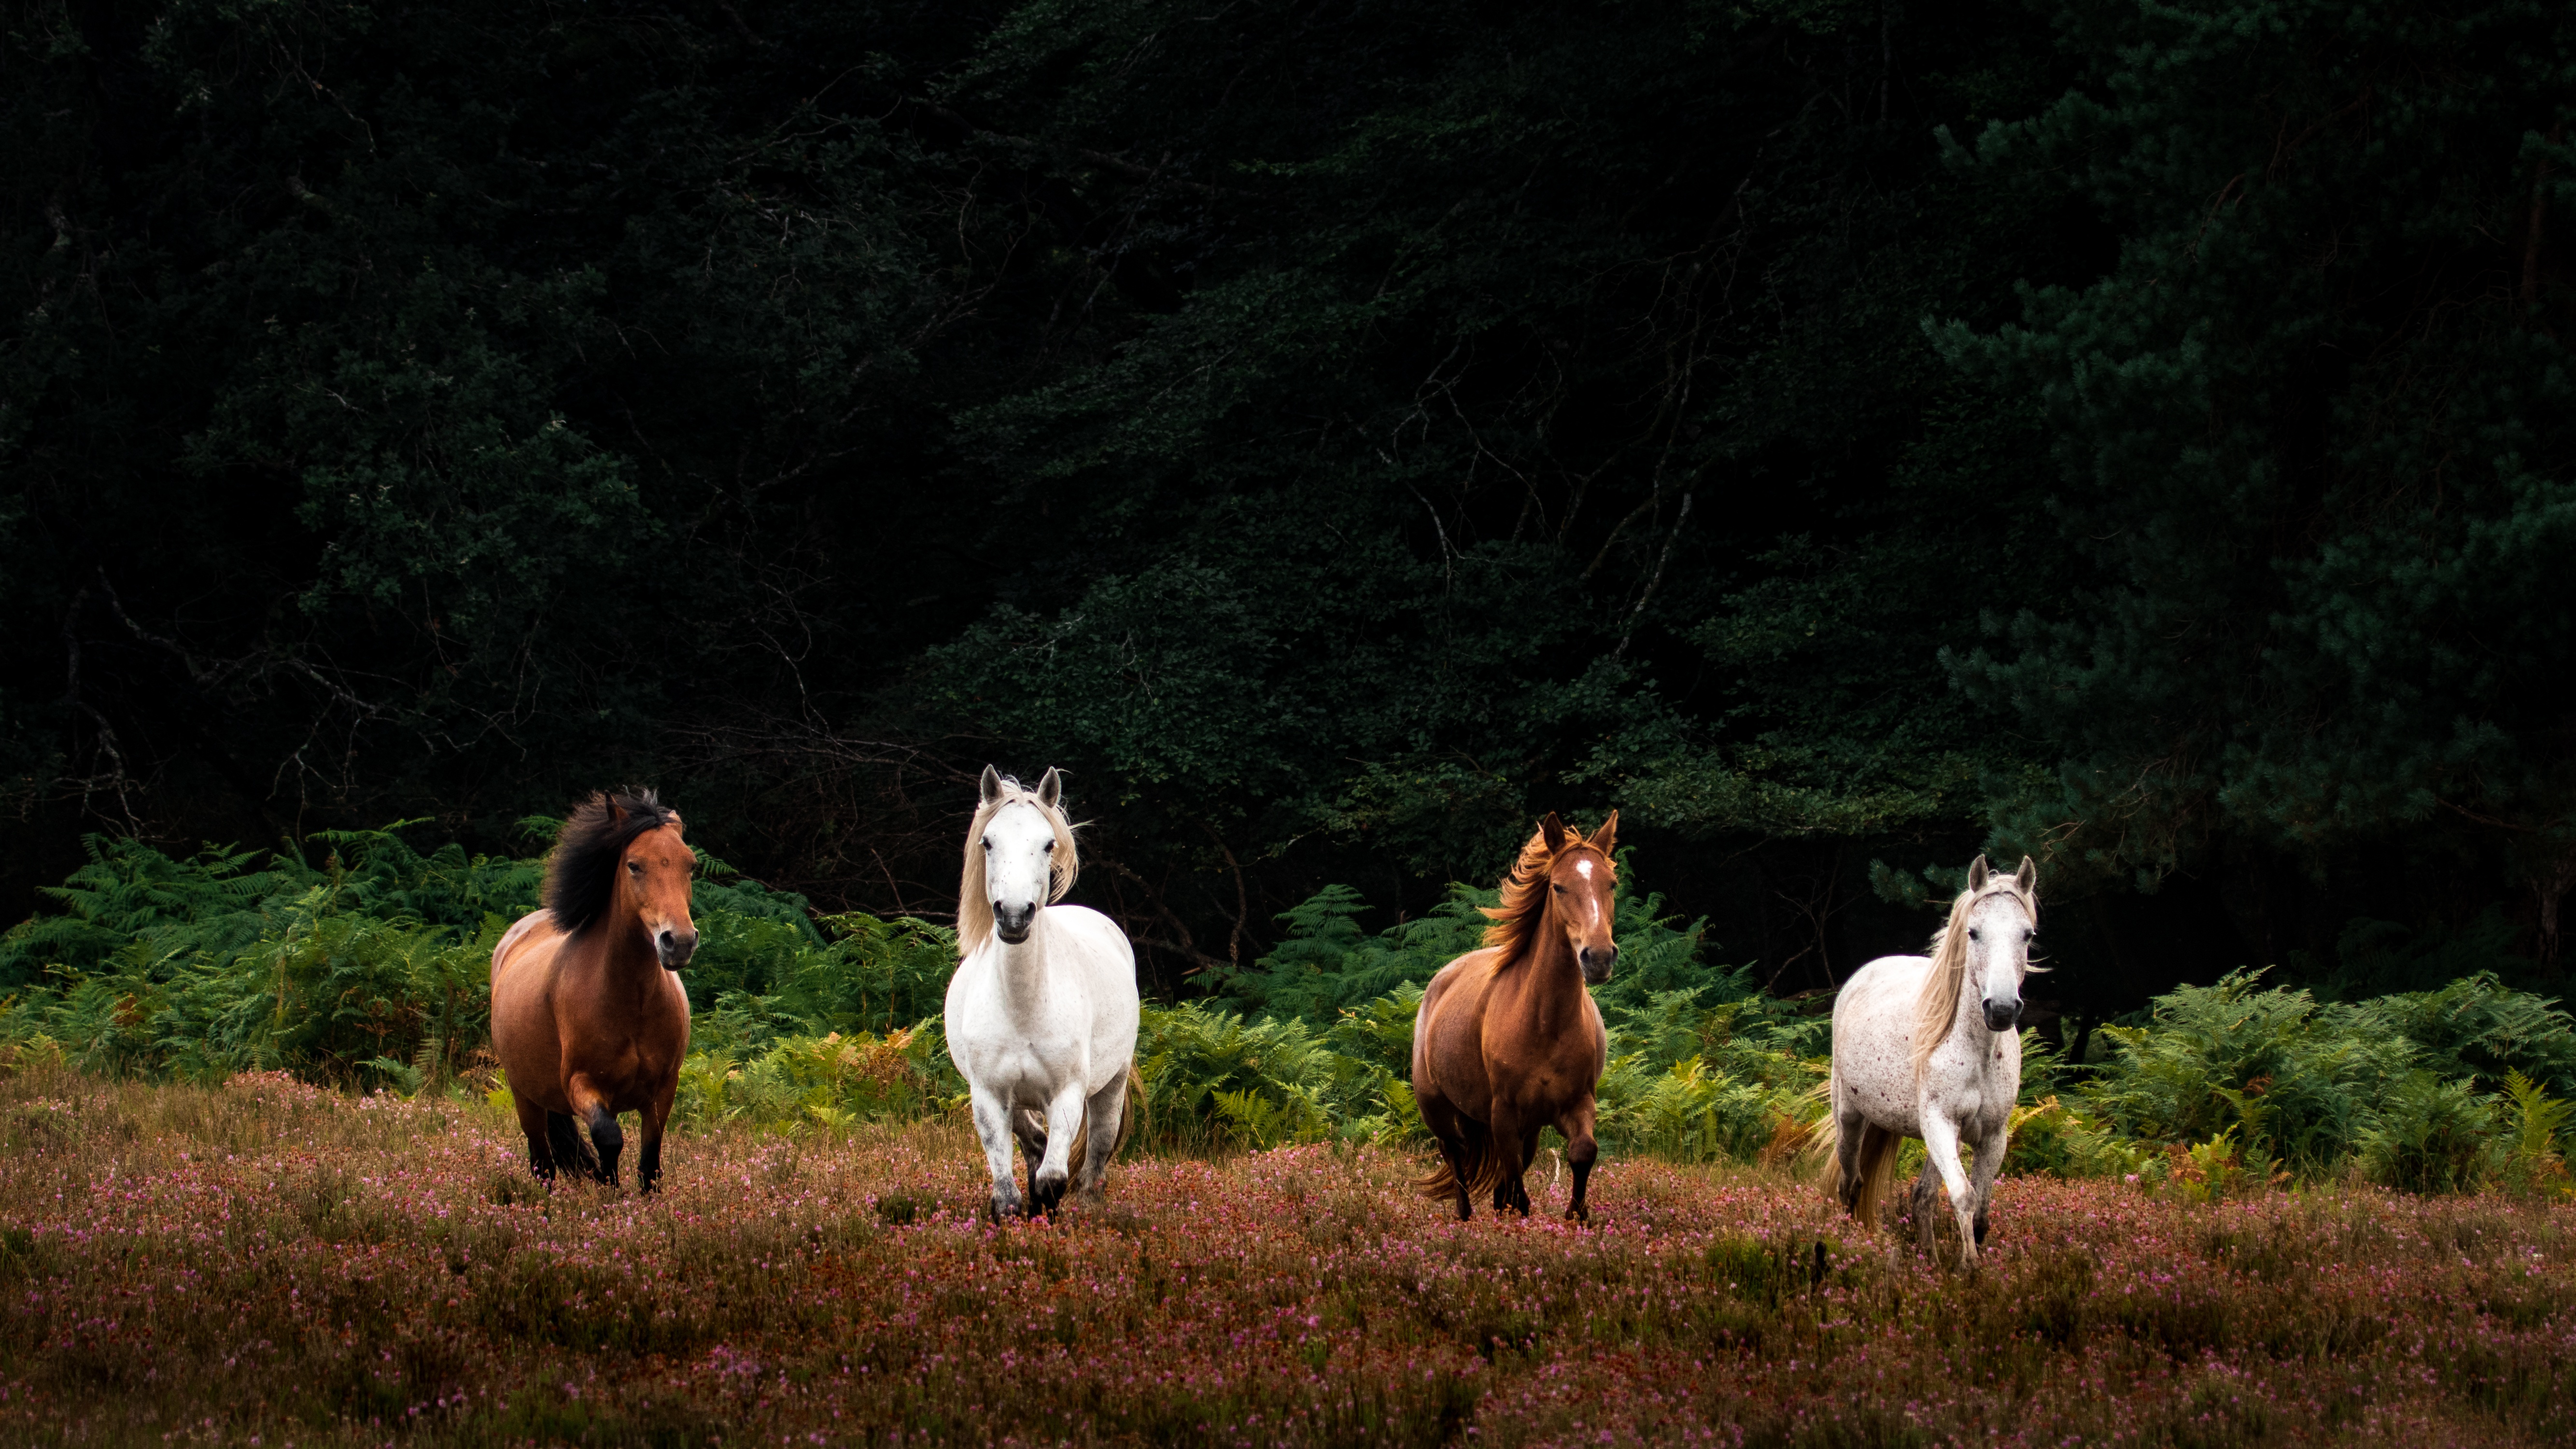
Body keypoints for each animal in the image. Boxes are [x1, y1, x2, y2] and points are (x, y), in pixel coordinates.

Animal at [487, 792, 695, 1189]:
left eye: (690, 865)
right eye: (634, 865)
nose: (679, 942)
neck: (632, 1002)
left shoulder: (663, 1090)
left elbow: (650, 1163)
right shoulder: (581, 1084)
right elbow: (608, 1138)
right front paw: (607, 1186)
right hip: (526, 1098)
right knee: (542, 1162)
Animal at [943, 767, 1143, 1220]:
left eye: (1048, 843)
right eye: (988, 841)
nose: (1015, 915)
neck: (1024, 1005)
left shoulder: (1066, 1096)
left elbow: (1053, 1180)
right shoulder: (988, 1097)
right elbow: (1007, 1195)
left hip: (1112, 1083)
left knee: (1096, 1154)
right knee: (1033, 1143)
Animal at [1422, 813, 1618, 1220]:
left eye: (1611, 883)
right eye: (1558, 887)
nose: (1599, 957)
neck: (1544, 1023)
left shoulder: (1577, 1104)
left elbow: (1582, 1152)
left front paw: (1576, 1216)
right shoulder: (1504, 1114)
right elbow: (1514, 1185)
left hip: (1528, 1127)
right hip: (1436, 1107)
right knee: (1455, 1155)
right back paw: (1464, 1218)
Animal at [1824, 854, 2040, 1266]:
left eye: (2027, 934)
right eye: (1973, 932)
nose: (2002, 1009)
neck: (1977, 1052)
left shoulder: (1992, 1136)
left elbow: (1980, 1210)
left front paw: (1968, 1264)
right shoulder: (1940, 1121)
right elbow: (1964, 1196)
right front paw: (1969, 1266)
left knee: (1920, 1197)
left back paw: (1930, 1261)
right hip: (1851, 1117)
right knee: (1850, 1183)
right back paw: (1848, 1242)